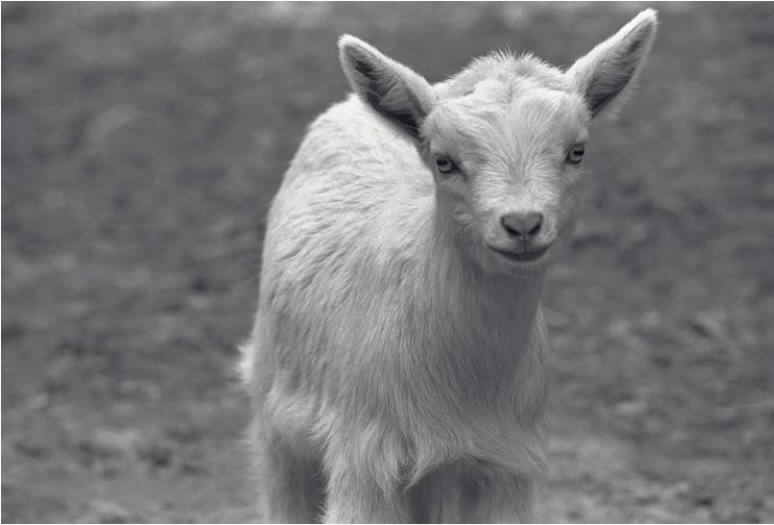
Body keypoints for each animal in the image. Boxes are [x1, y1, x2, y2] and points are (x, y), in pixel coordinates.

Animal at [240, 9, 658, 523]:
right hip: (273, 410)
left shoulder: (508, 459)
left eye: (576, 151)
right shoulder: (363, 453)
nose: (523, 223)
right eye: (444, 161)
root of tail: (350, 105)